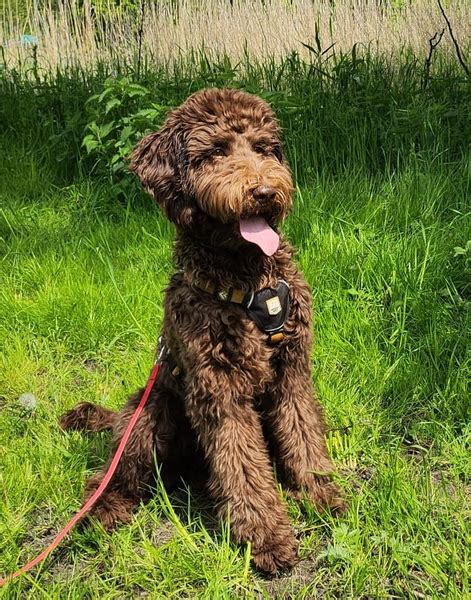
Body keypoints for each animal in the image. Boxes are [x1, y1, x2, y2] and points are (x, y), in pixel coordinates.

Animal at [60, 88, 344, 572]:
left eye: (264, 148)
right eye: (215, 152)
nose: (265, 192)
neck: (248, 278)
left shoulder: (291, 370)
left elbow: (303, 433)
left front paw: (317, 490)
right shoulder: (220, 389)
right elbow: (242, 464)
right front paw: (266, 536)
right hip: (149, 414)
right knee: (114, 475)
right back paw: (104, 509)